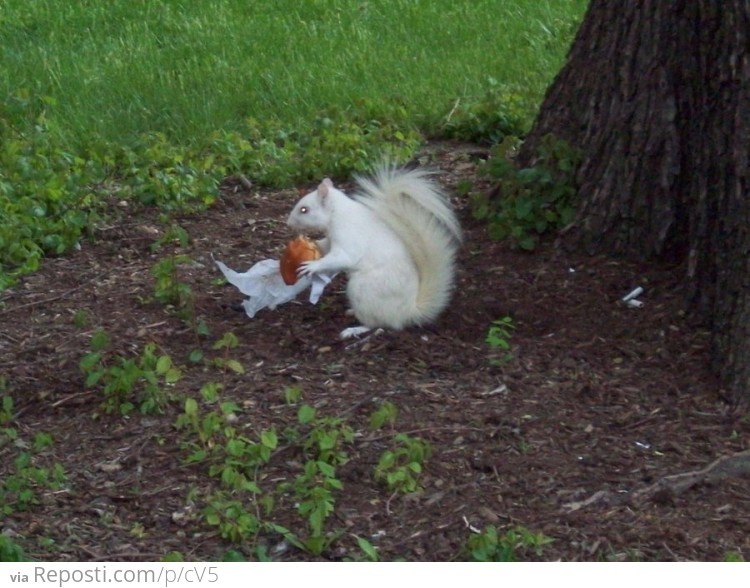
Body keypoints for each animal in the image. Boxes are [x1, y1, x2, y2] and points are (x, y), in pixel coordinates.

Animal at [288, 165, 464, 340]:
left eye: (304, 210)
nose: (288, 223)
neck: (337, 212)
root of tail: (407, 311)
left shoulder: (348, 238)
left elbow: (342, 257)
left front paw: (312, 266)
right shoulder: (331, 239)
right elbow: (325, 246)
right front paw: (313, 243)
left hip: (362, 290)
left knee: (377, 323)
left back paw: (354, 329)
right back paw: (352, 312)